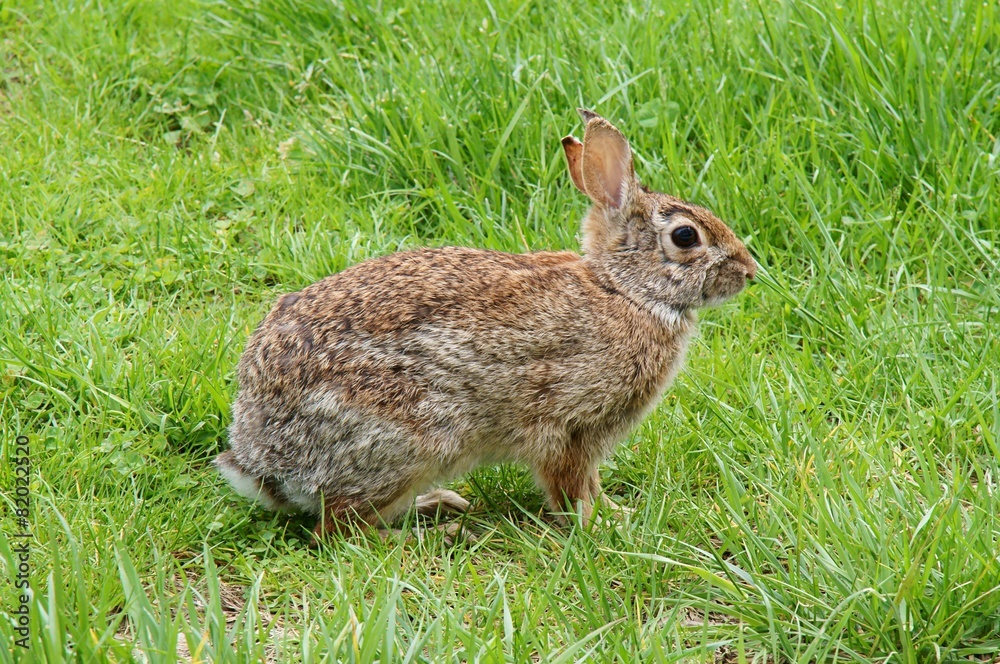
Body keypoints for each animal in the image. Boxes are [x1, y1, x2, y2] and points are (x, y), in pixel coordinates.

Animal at [215, 109, 757, 542]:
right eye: (685, 237)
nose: (749, 272)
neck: (623, 291)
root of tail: (259, 460)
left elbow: (591, 482)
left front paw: (614, 513)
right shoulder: (566, 426)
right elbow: (569, 485)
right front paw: (600, 524)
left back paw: (439, 505)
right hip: (410, 440)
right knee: (339, 530)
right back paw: (436, 533)